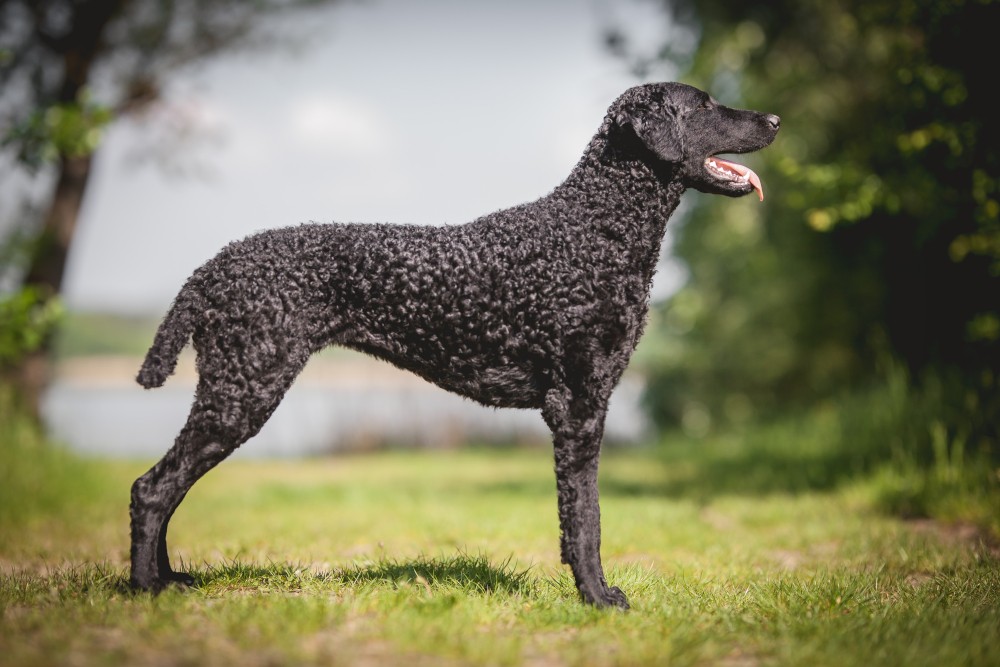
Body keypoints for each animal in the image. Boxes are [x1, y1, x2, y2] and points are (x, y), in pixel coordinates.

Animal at [129, 81, 776, 608]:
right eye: (705, 105)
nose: (774, 119)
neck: (594, 227)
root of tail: (212, 268)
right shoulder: (578, 404)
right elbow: (585, 515)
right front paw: (597, 597)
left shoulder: (586, 400)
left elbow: (582, 513)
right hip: (243, 389)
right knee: (153, 488)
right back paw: (144, 591)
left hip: (233, 392)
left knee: (162, 487)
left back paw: (170, 581)